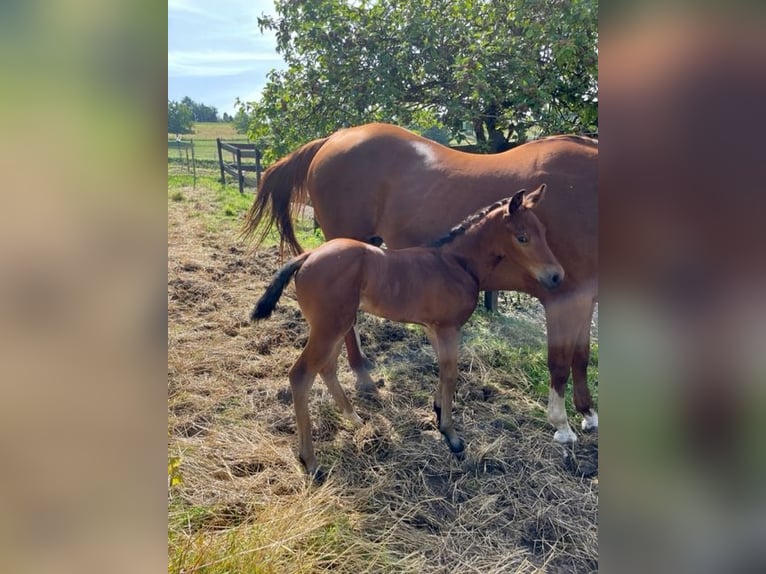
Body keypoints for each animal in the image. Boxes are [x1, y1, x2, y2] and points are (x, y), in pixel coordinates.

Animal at [242, 122, 600, 446]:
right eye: (524, 237)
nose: (555, 274)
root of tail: (334, 137)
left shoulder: (587, 297)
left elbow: (581, 356)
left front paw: (588, 414)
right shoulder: (563, 298)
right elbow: (559, 362)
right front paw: (562, 426)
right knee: (342, 334)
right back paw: (364, 382)